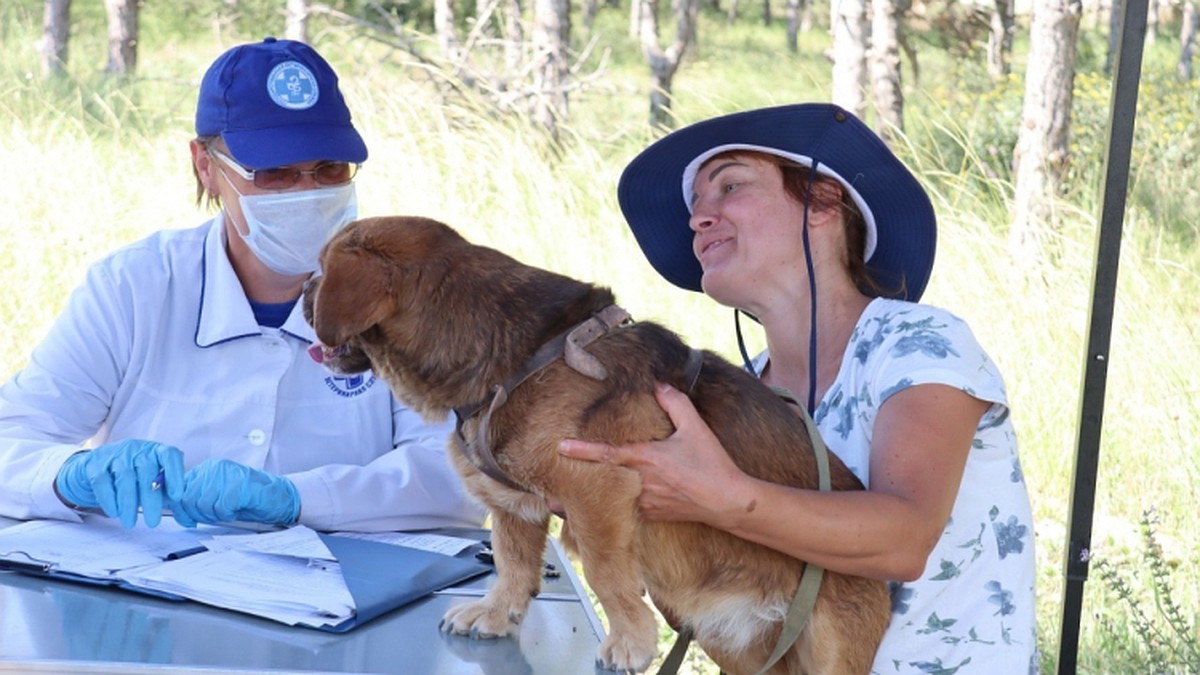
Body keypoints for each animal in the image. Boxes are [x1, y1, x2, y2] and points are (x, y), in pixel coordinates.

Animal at [304, 214, 892, 672]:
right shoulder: (515, 505)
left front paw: (630, 642)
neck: (521, 355)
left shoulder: (597, 490)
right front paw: (496, 612)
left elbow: (605, 573)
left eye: (323, 268)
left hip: (829, 646)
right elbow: (513, 563)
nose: (306, 286)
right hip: (742, 647)